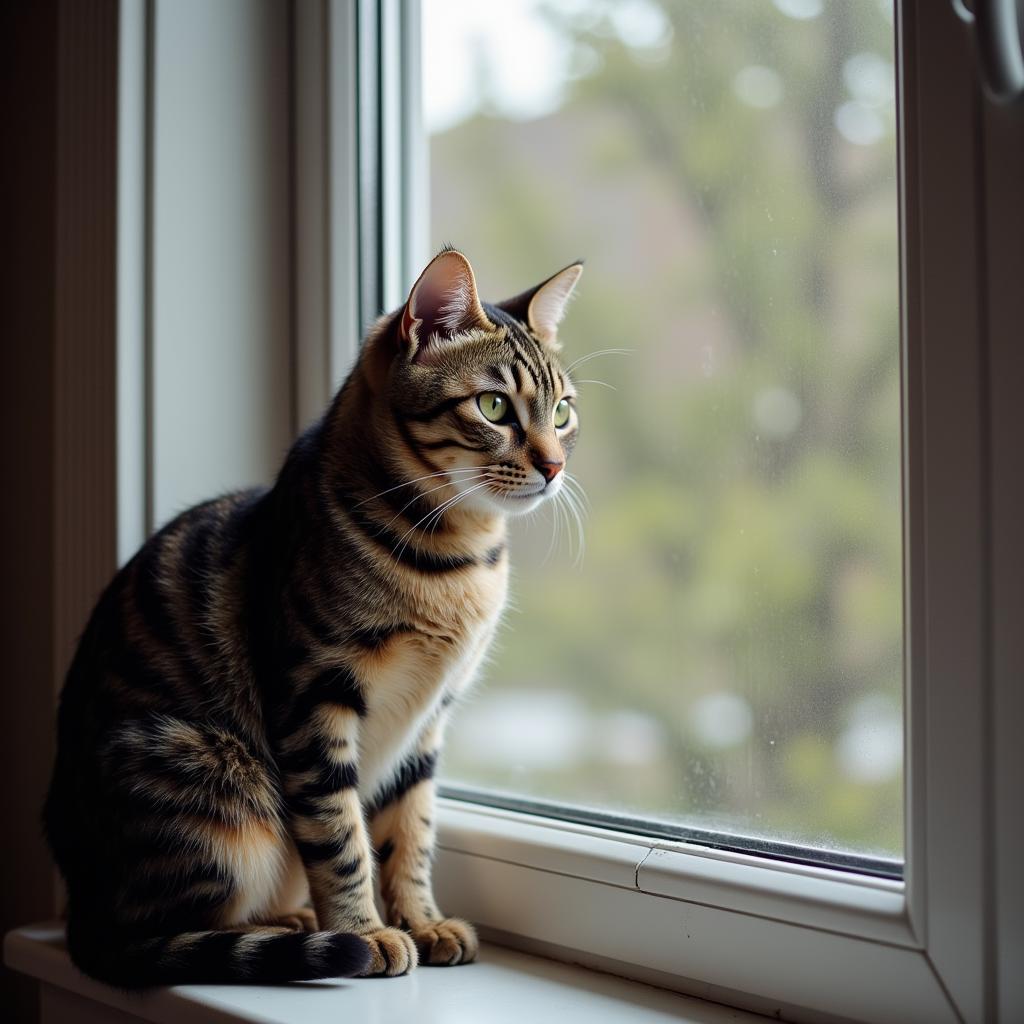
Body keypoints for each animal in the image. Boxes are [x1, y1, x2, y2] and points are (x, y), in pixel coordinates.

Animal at [41, 245, 585, 983]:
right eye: (494, 405)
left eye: (562, 413)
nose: (554, 467)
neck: (455, 560)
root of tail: (81, 912)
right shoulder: (315, 698)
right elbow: (339, 833)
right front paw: (367, 931)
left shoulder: (427, 723)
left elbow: (410, 830)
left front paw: (421, 920)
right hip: (214, 780)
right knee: (164, 928)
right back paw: (292, 929)